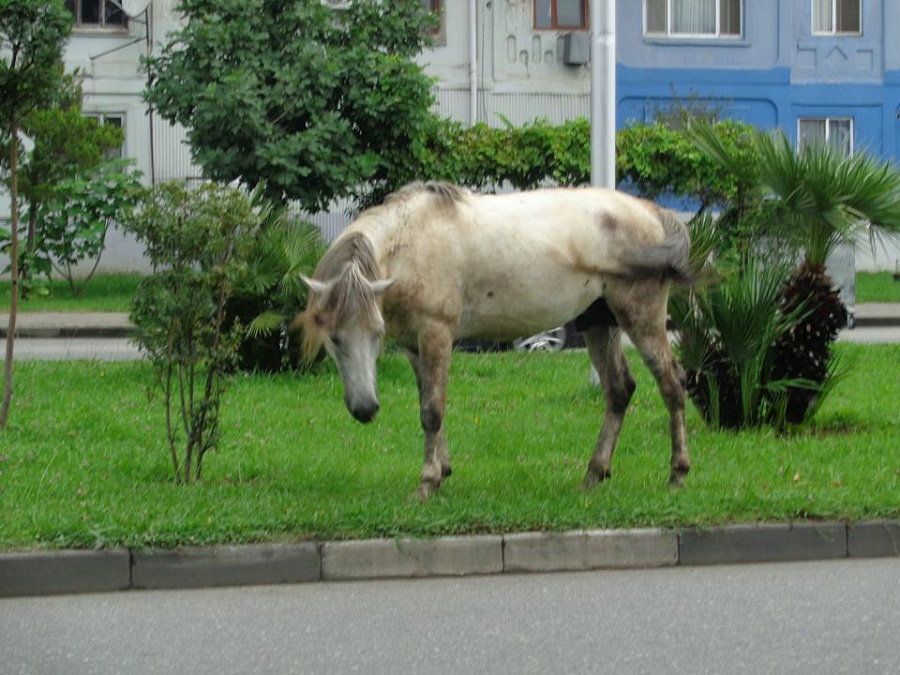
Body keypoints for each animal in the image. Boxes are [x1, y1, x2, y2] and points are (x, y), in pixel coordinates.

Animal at [298, 182, 692, 500]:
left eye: (376, 334)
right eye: (334, 337)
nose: (365, 409)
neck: (411, 241)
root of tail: (650, 211)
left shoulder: (436, 333)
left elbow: (432, 411)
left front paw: (427, 482)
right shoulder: (414, 346)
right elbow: (428, 403)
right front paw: (442, 471)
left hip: (641, 319)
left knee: (672, 384)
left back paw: (678, 472)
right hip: (598, 323)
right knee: (619, 390)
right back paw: (594, 474)